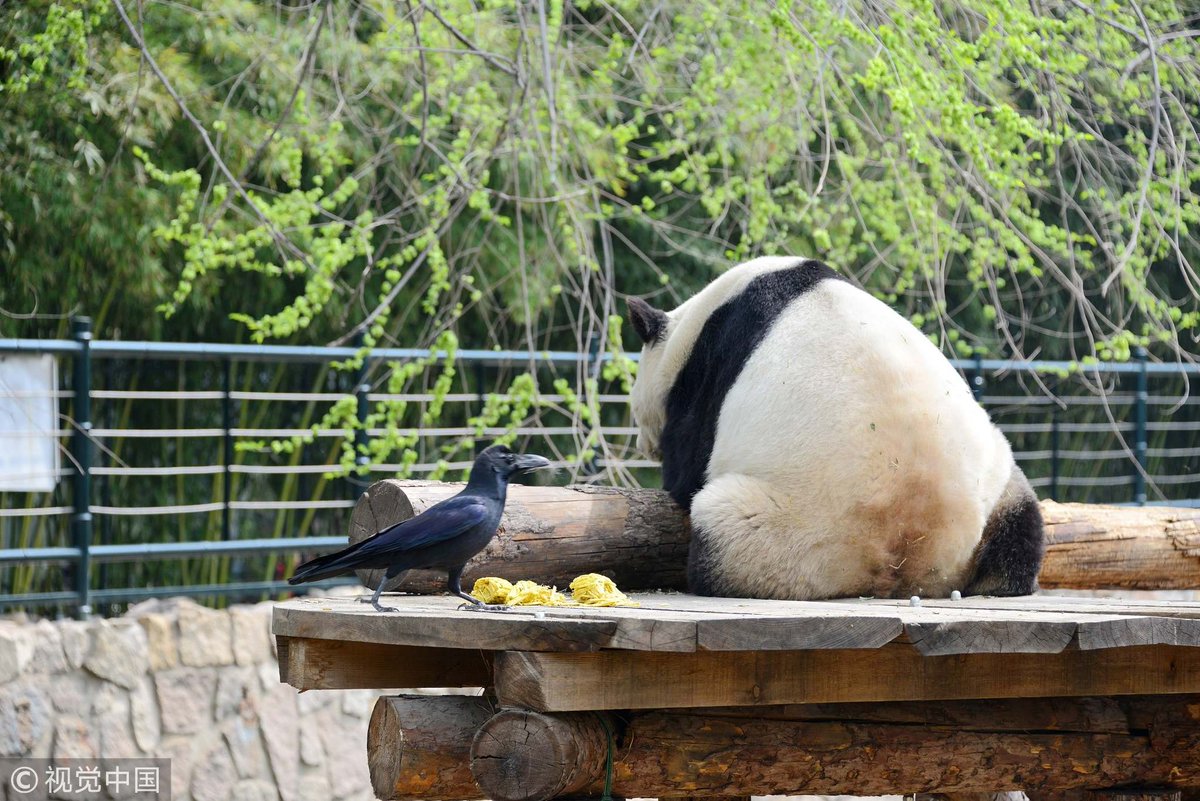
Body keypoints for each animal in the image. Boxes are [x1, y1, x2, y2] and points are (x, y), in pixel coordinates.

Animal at [627, 256, 1044, 601]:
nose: (643, 444)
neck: (693, 326)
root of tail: (909, 557)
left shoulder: (711, 367)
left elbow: (688, 461)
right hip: (997, 488)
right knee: (1023, 529)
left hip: (790, 534)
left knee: (721, 534)